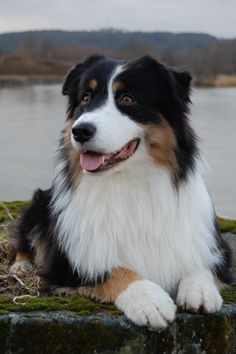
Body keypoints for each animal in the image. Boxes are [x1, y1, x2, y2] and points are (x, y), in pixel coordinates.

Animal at [10, 55, 231, 330]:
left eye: (127, 99)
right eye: (85, 98)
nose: (79, 131)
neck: (129, 181)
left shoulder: (216, 246)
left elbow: (201, 262)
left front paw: (200, 290)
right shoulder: (67, 263)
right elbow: (113, 269)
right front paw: (149, 299)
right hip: (40, 202)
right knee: (24, 239)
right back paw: (21, 266)